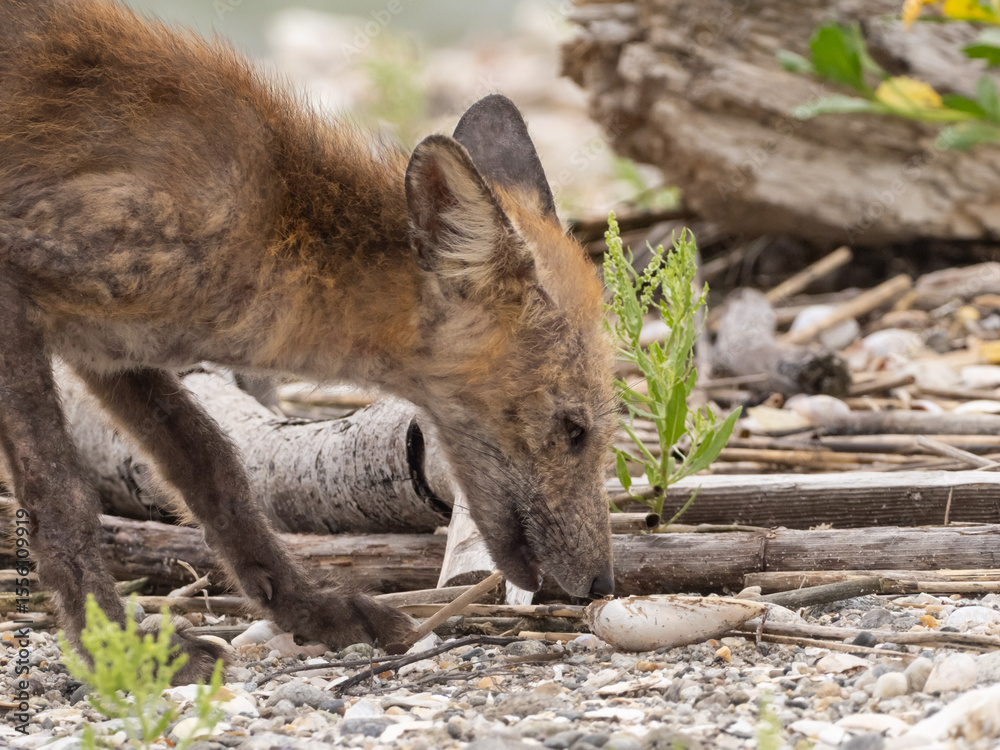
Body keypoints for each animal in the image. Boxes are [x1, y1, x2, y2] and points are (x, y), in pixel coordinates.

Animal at [0, 0, 616, 682]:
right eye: (574, 430)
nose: (603, 584)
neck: (268, 225)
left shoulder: (109, 346)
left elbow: (214, 468)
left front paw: (308, 609)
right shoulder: (20, 291)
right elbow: (62, 498)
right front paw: (113, 647)